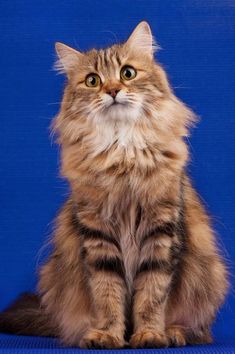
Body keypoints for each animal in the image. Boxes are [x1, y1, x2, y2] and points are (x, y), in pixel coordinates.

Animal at [0, 21, 229, 348]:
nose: (112, 91)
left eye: (127, 73)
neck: (122, 152)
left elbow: (152, 294)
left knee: (200, 331)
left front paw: (149, 334)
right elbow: (107, 295)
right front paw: (108, 335)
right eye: (92, 81)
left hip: (212, 277)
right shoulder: (98, 235)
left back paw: (174, 333)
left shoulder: (161, 230)